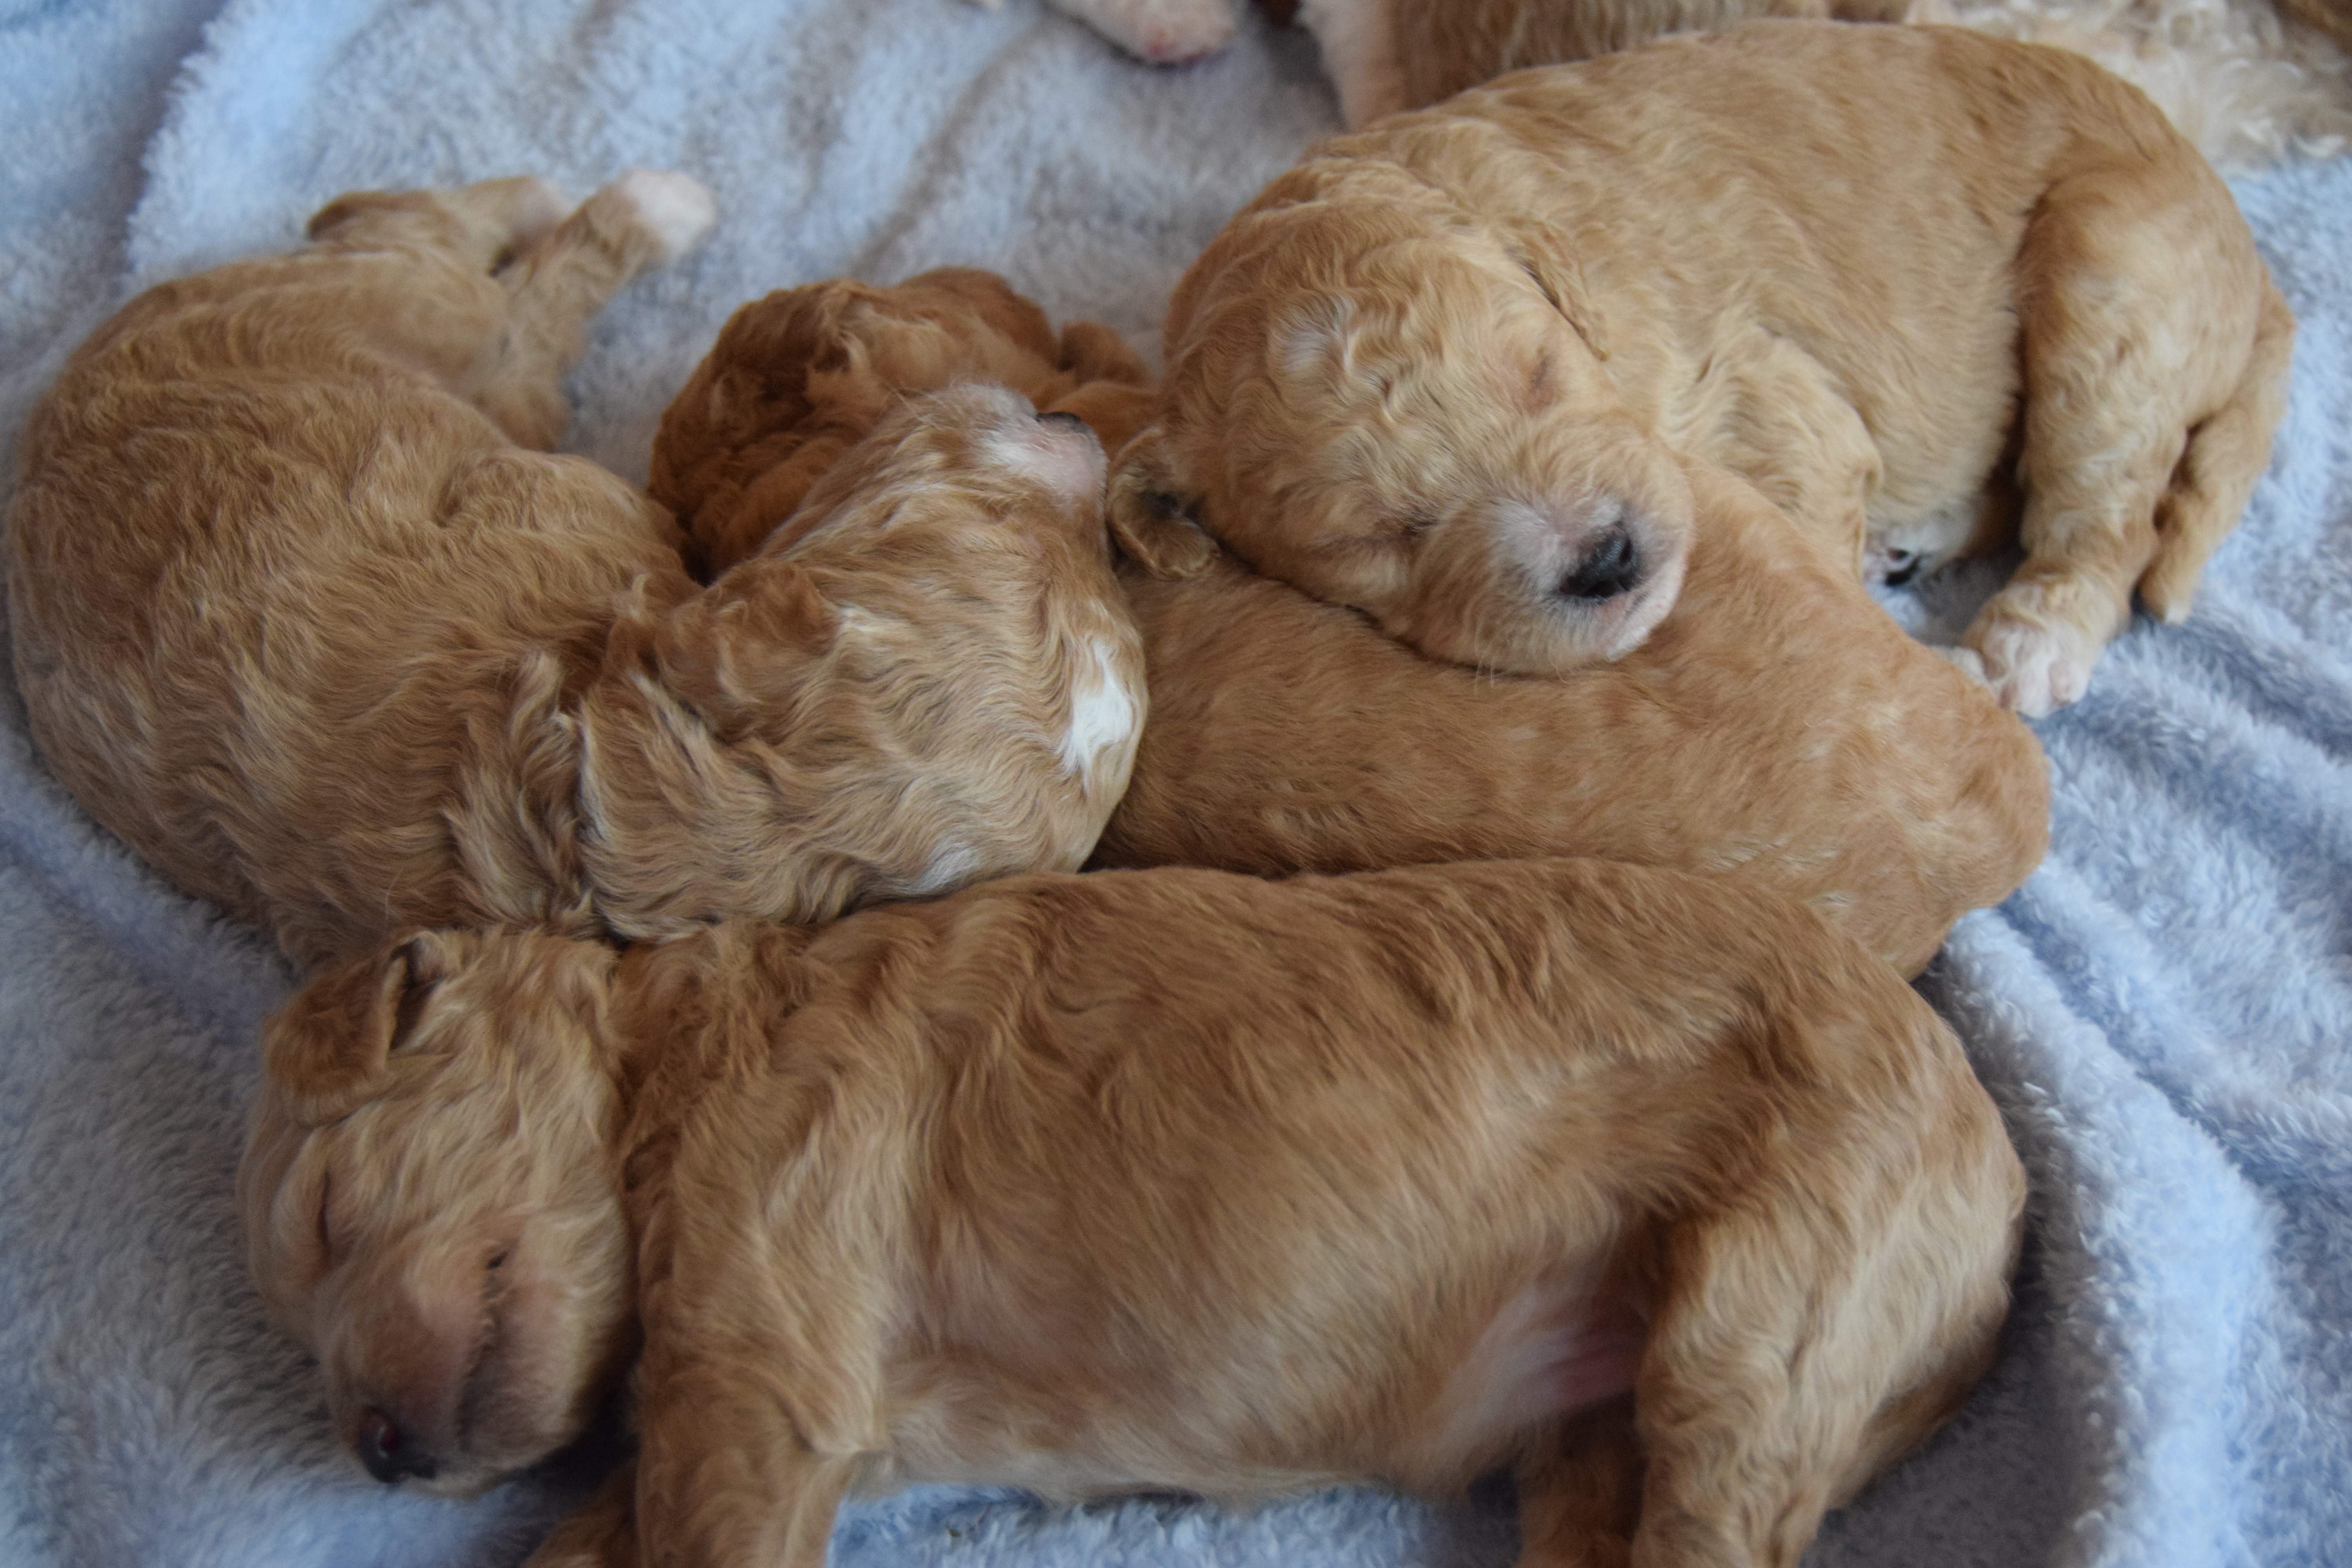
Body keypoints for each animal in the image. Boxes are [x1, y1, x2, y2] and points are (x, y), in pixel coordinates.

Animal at [248, 860, 2032, 1568]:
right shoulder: (730, 1400)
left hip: (1774, 1305)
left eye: (325, 1214)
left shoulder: (758, 1359)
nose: (377, 1451)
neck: (678, 1064)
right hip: (1606, 1425)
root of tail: (2004, 1193)